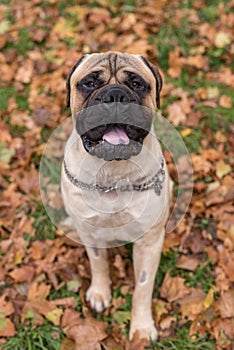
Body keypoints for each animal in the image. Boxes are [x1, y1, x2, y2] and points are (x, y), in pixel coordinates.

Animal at [61, 52, 171, 342]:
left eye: (137, 84)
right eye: (89, 83)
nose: (115, 95)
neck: (112, 173)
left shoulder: (149, 242)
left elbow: (142, 287)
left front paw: (142, 326)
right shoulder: (91, 233)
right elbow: (98, 264)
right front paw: (100, 292)